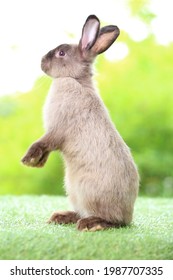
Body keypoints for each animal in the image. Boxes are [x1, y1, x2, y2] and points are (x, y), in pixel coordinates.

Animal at [21, 14, 140, 231]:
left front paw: (28, 160)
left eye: (61, 53)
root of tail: (128, 215)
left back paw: (90, 224)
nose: (41, 61)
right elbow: (46, 149)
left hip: (89, 193)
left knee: (112, 221)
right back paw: (60, 217)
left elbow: (43, 143)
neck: (73, 79)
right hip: (73, 191)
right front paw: (38, 163)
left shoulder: (56, 130)